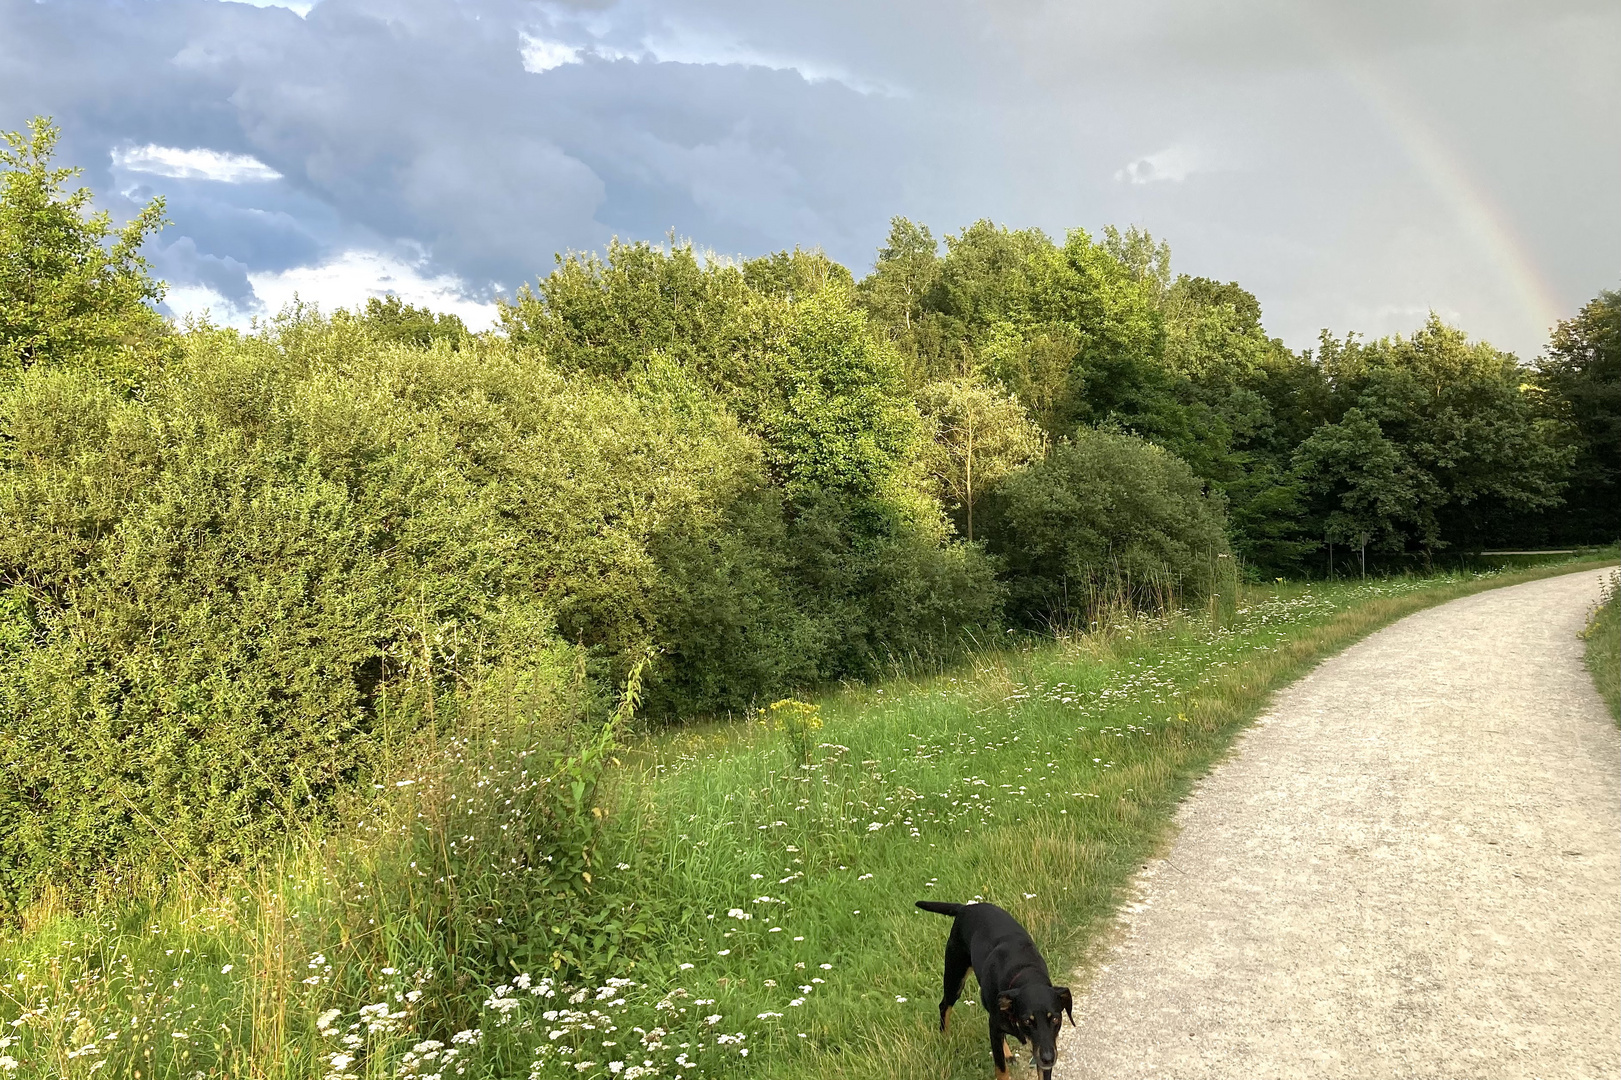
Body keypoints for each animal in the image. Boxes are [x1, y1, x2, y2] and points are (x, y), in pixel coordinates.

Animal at [914, 901, 1076, 1076]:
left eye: (1055, 1019)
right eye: (1027, 1021)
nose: (1048, 1058)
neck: (1024, 971)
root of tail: (965, 907)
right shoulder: (996, 1029)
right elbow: (1001, 1070)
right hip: (955, 977)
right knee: (944, 1006)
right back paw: (945, 1038)